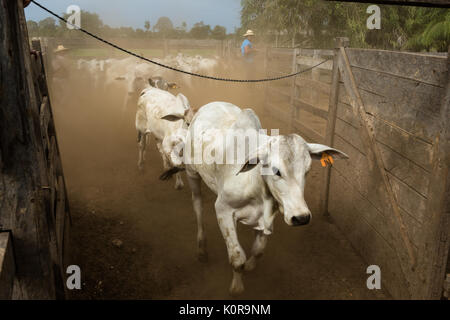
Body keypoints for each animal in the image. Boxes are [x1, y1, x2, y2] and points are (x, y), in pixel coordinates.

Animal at [161, 102, 348, 296]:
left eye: (307, 170)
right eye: (276, 170)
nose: (301, 217)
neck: (255, 182)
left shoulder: (266, 217)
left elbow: (258, 251)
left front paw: (250, 266)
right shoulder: (223, 210)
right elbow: (237, 258)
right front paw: (237, 287)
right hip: (192, 173)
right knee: (197, 206)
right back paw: (201, 248)